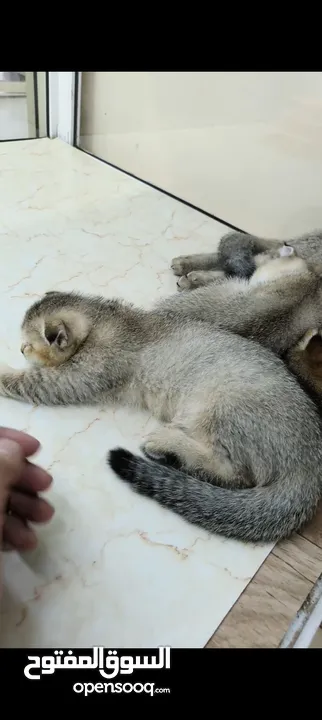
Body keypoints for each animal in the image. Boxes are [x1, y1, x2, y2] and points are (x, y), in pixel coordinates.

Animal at [1, 250, 322, 544]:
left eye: (27, 345)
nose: (19, 350)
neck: (105, 319)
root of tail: (309, 462)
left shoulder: (78, 377)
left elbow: (31, 382)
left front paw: (4, 371)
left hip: (220, 409)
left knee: (233, 473)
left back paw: (166, 446)